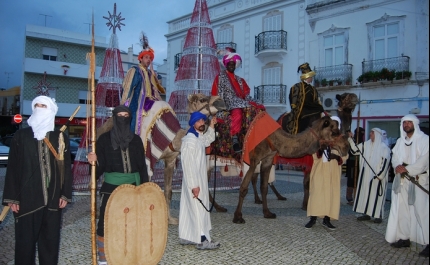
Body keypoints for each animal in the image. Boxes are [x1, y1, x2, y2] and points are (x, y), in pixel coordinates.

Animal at [97, 93, 225, 223]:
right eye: (202, 99)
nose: (221, 101)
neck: (173, 140)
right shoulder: (147, 161)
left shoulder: (171, 160)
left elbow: (168, 191)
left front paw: (170, 220)